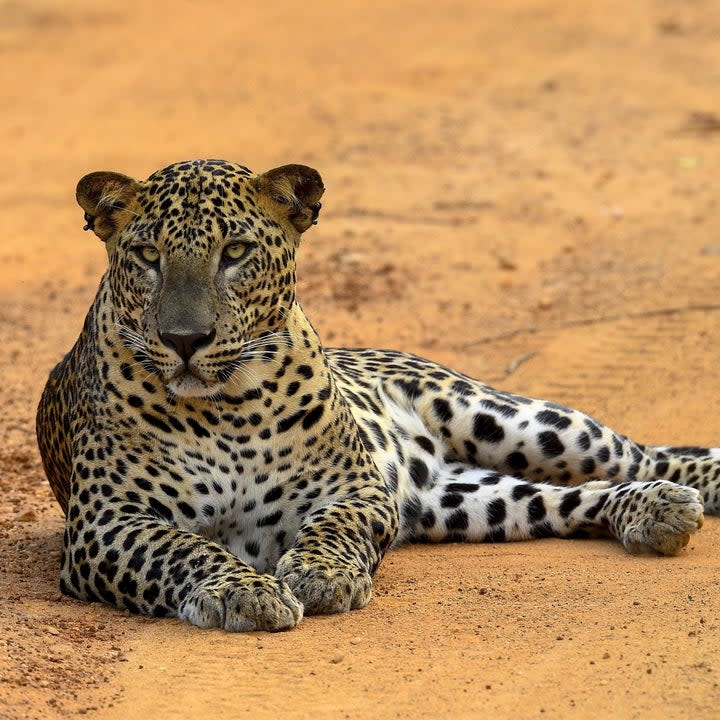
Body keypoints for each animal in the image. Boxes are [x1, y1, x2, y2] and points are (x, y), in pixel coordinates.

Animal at [35, 158, 720, 632]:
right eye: (147, 255)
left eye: (235, 252)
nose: (183, 339)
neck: (229, 407)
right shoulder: (107, 521)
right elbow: (182, 548)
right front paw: (243, 590)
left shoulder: (358, 488)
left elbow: (334, 526)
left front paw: (318, 576)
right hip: (461, 502)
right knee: (567, 497)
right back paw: (655, 513)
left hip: (517, 421)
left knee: (641, 455)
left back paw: (681, 491)